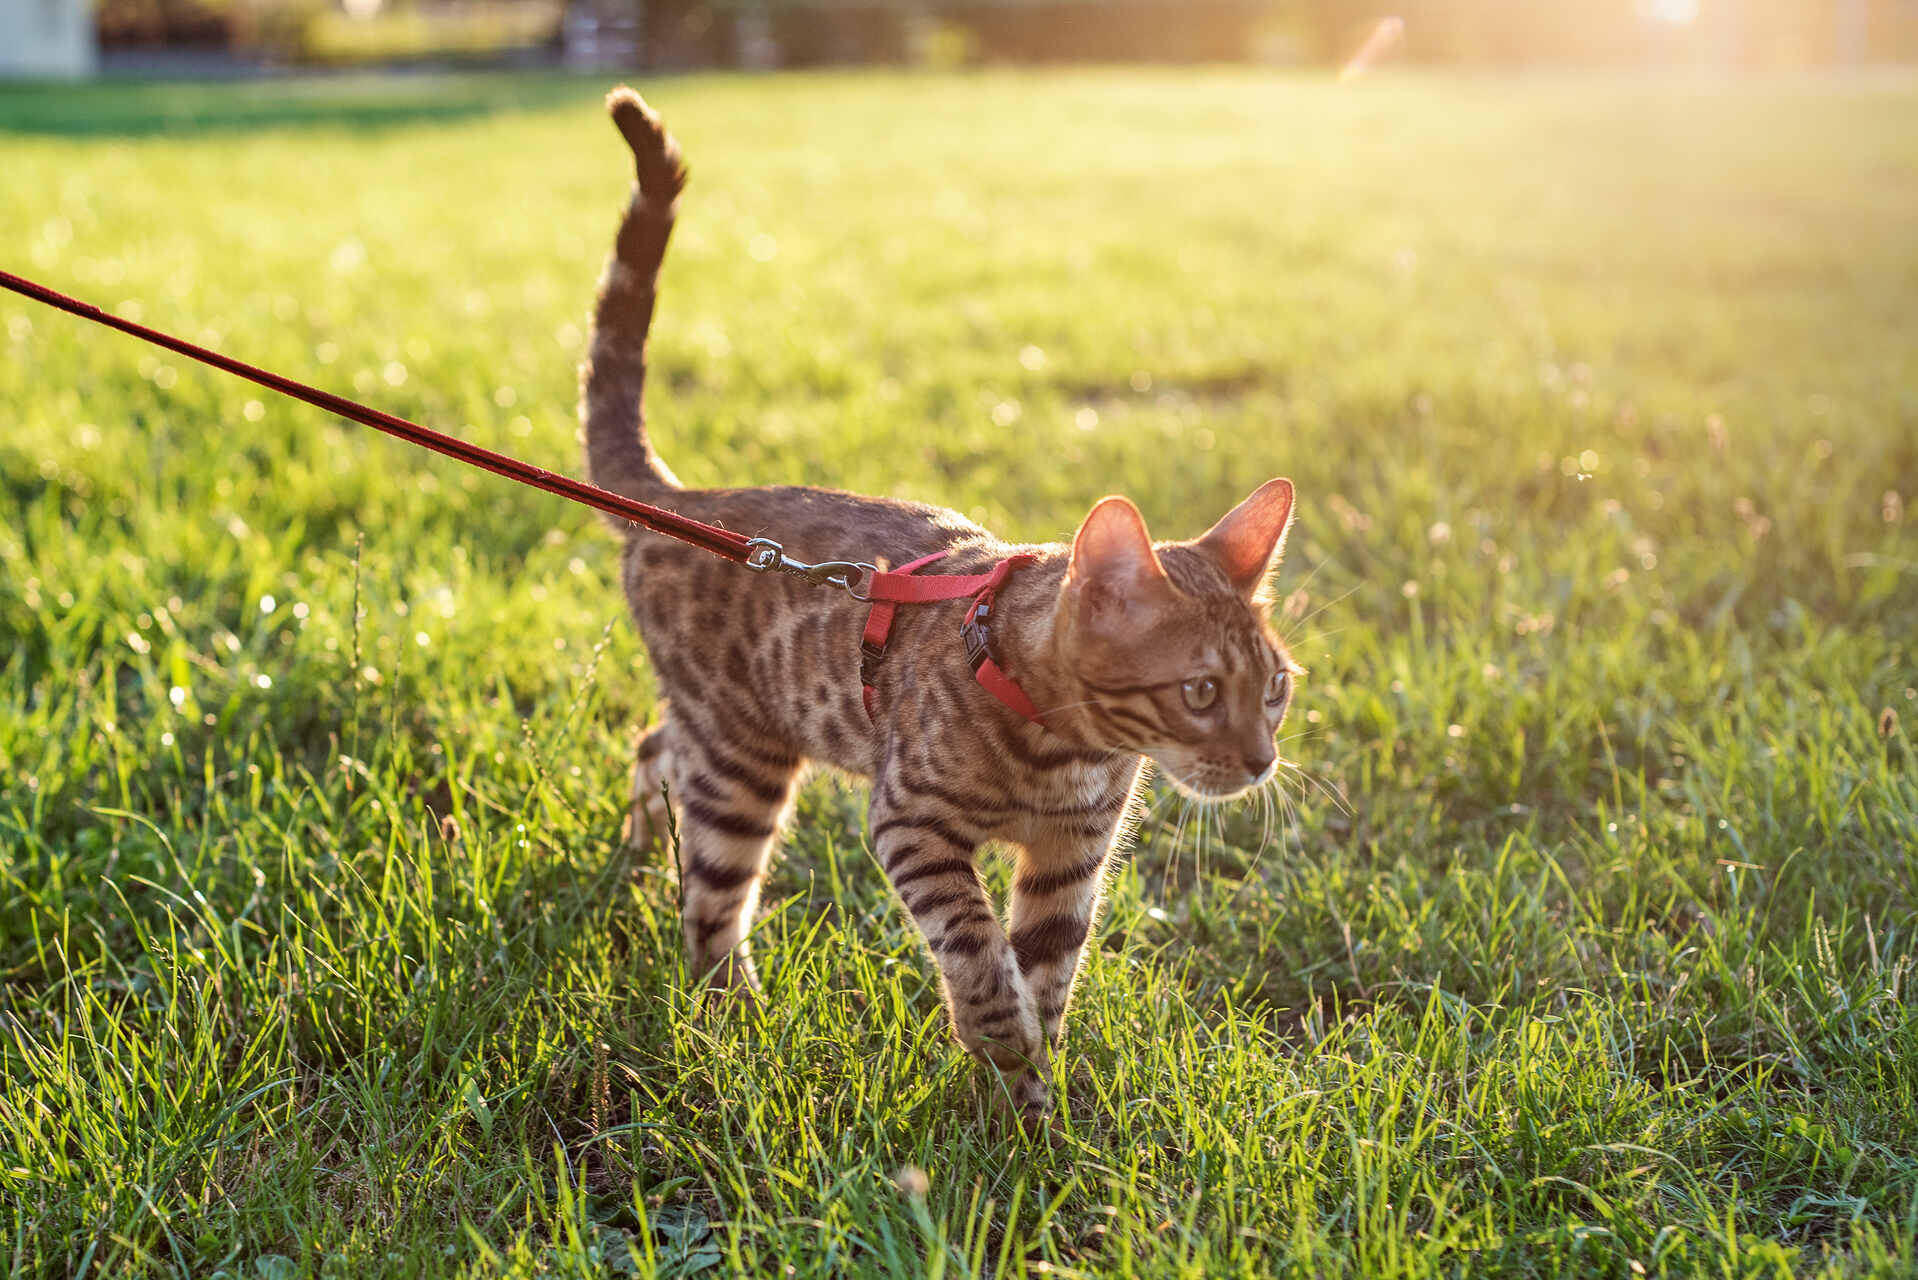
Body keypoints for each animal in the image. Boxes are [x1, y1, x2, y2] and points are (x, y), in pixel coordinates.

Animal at [583, 87, 1304, 1128]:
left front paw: (1031, 1108)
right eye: (1202, 691)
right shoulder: (912, 822)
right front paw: (1000, 1046)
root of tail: (688, 500)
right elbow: (977, 949)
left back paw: (642, 853)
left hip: (728, 731)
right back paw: (733, 1021)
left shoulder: (1073, 856)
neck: (1065, 746)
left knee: (653, 748)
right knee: (713, 896)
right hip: (742, 758)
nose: (1261, 762)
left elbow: (1048, 971)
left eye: (1276, 688)